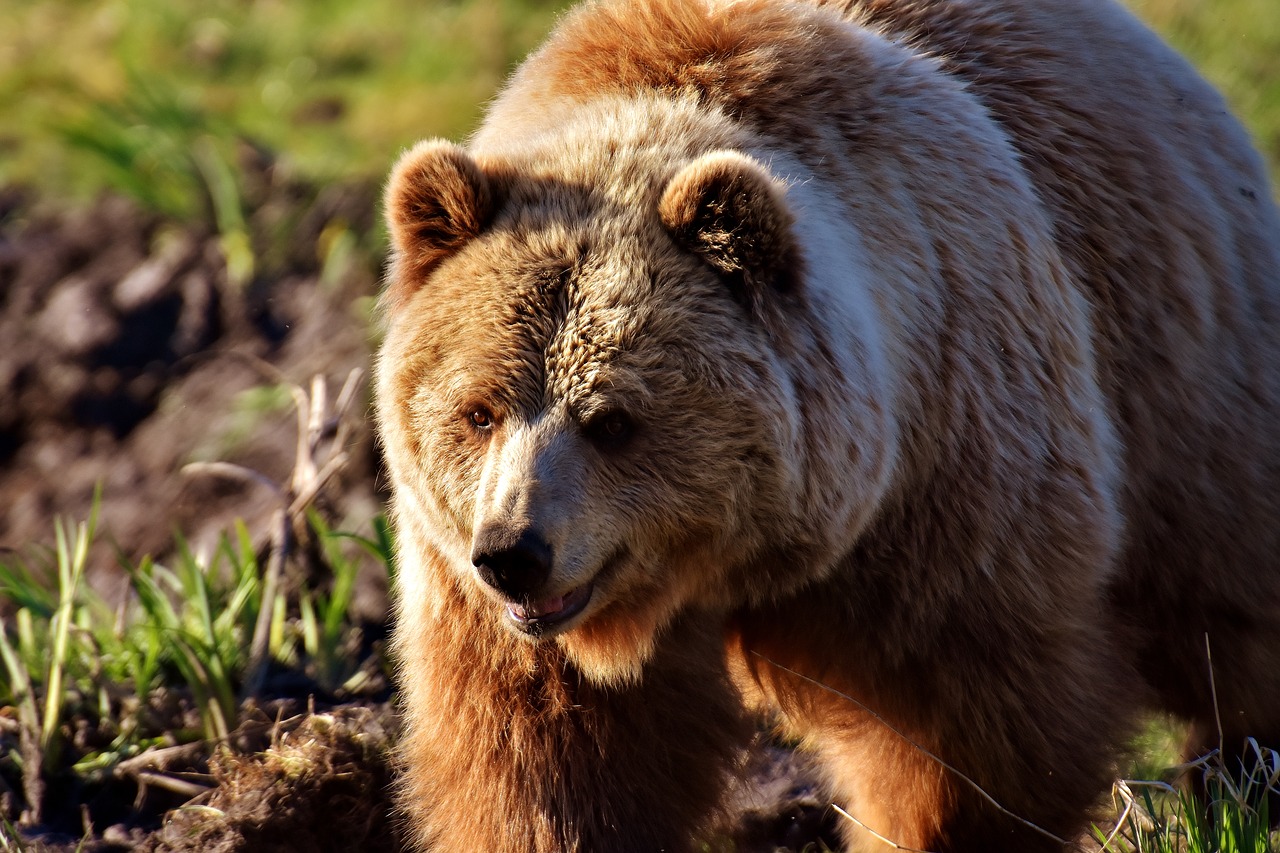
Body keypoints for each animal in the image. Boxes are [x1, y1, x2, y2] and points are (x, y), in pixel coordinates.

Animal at [373, 0, 1280, 845]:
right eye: (479, 410)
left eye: (614, 419)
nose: (514, 554)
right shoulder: (480, 594)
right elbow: (549, 760)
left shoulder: (947, 476)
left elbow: (962, 732)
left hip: (1181, 383)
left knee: (1225, 607)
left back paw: (1241, 774)